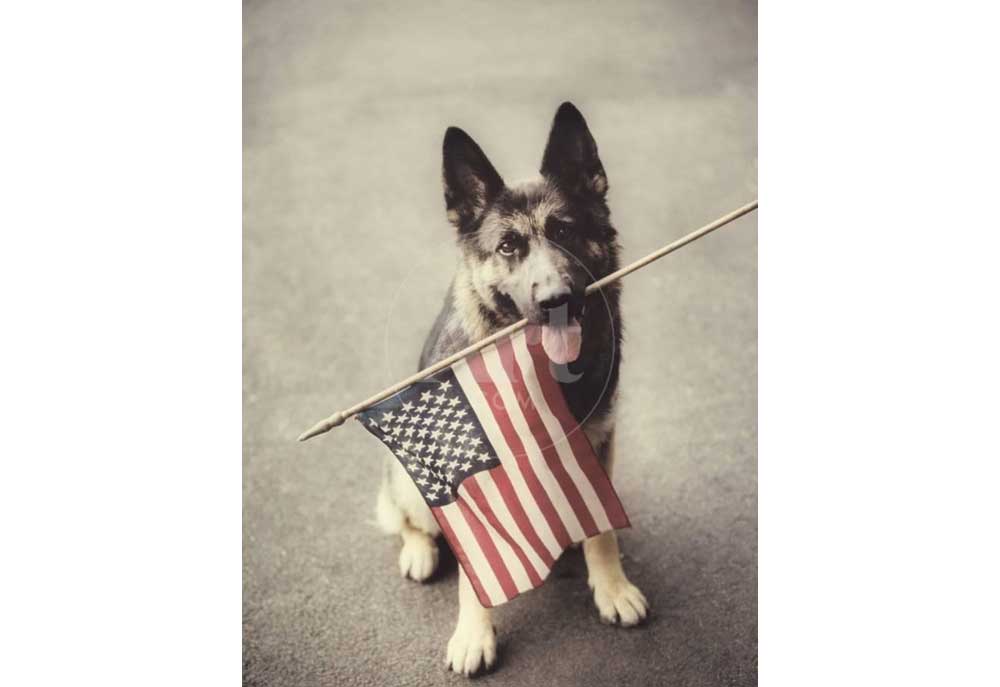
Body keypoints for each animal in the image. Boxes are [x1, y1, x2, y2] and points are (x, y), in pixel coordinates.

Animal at [376, 103, 648, 676]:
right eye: (508, 246)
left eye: (565, 230)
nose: (556, 300)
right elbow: (474, 570)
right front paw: (473, 633)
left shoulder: (597, 444)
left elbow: (603, 529)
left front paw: (611, 586)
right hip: (410, 485)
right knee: (408, 519)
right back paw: (419, 550)